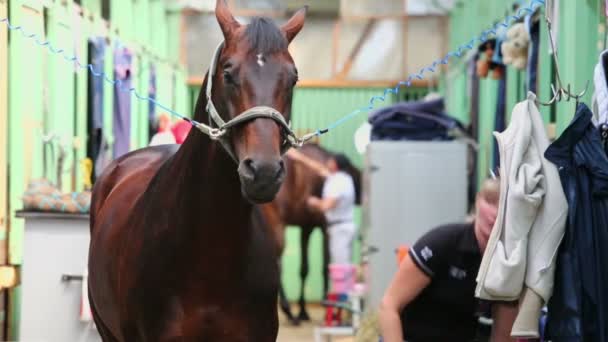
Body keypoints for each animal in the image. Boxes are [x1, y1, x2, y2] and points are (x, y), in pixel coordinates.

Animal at [258, 143, 358, 324]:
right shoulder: (324, 226)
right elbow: (325, 266)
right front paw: (325, 306)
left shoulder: (306, 227)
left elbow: (304, 269)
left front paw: (303, 311)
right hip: (277, 226)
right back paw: (288, 310)